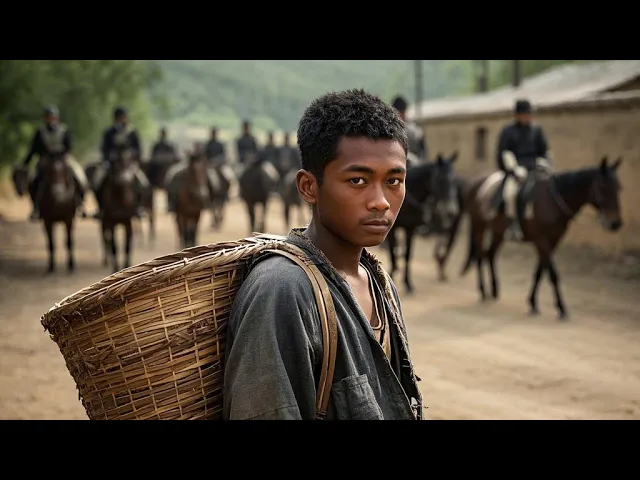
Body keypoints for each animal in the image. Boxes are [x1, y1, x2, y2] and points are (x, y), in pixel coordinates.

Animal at [386, 152, 461, 293]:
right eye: (440, 180)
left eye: (455, 180)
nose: (451, 211)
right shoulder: (392, 229)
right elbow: (392, 252)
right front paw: (391, 274)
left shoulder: (410, 228)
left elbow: (408, 255)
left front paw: (408, 283)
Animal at [460, 156, 623, 320]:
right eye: (602, 186)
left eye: (618, 187)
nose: (615, 223)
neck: (552, 201)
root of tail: (476, 182)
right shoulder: (542, 241)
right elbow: (552, 273)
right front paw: (561, 308)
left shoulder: (553, 241)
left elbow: (540, 271)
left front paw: (532, 303)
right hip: (479, 227)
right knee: (480, 256)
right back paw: (482, 291)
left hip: (498, 233)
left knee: (490, 255)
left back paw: (493, 291)